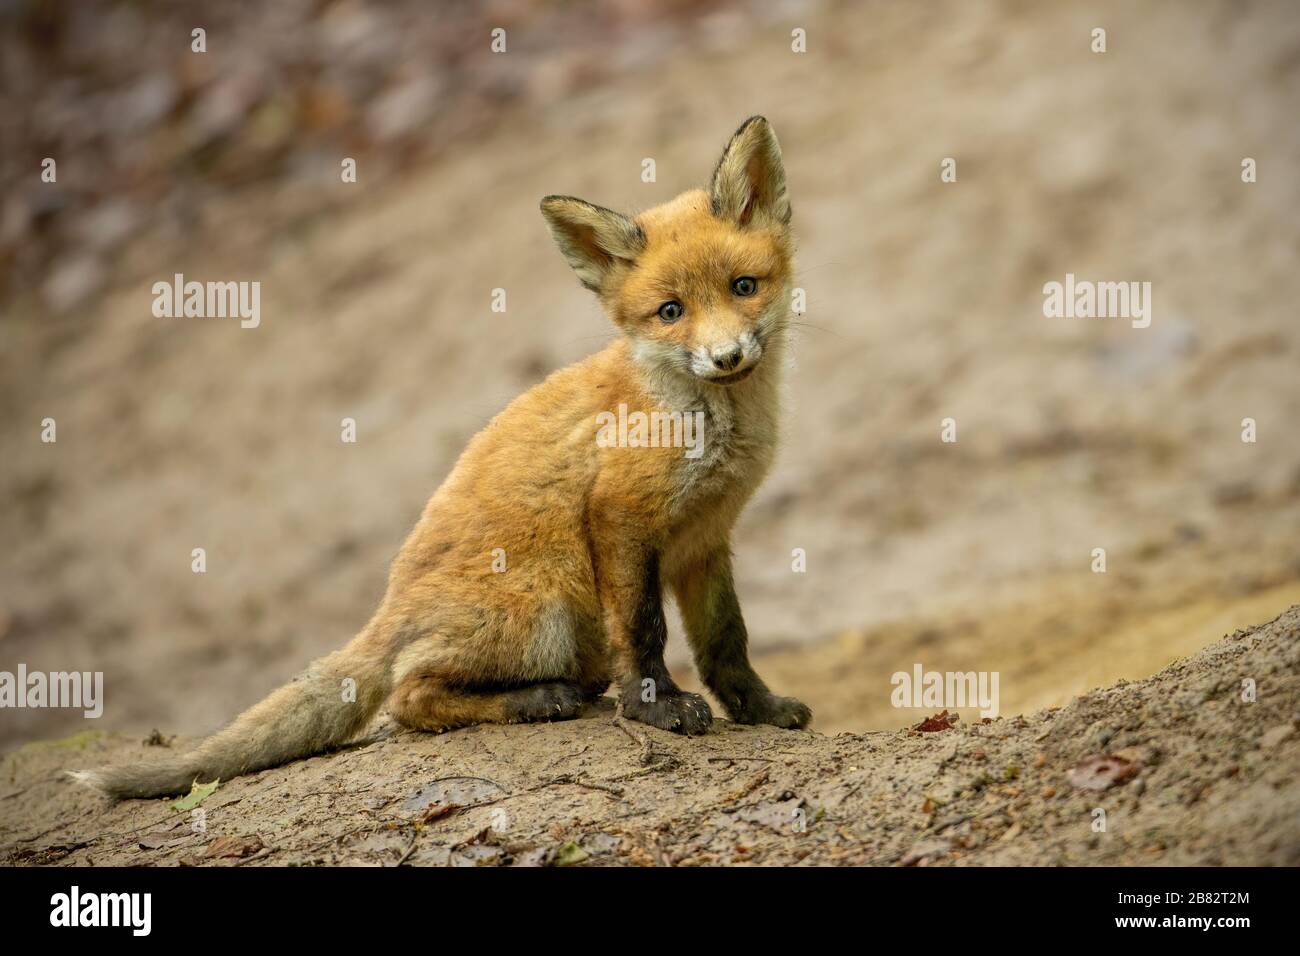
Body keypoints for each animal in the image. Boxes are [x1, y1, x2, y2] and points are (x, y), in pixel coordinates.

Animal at [73, 116, 811, 800]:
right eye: (670, 311)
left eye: (744, 287)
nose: (727, 357)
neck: (706, 424)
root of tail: (387, 605)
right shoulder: (621, 518)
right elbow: (644, 629)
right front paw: (657, 709)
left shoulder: (705, 539)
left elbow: (727, 640)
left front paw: (759, 708)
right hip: (543, 607)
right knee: (408, 696)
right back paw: (537, 699)